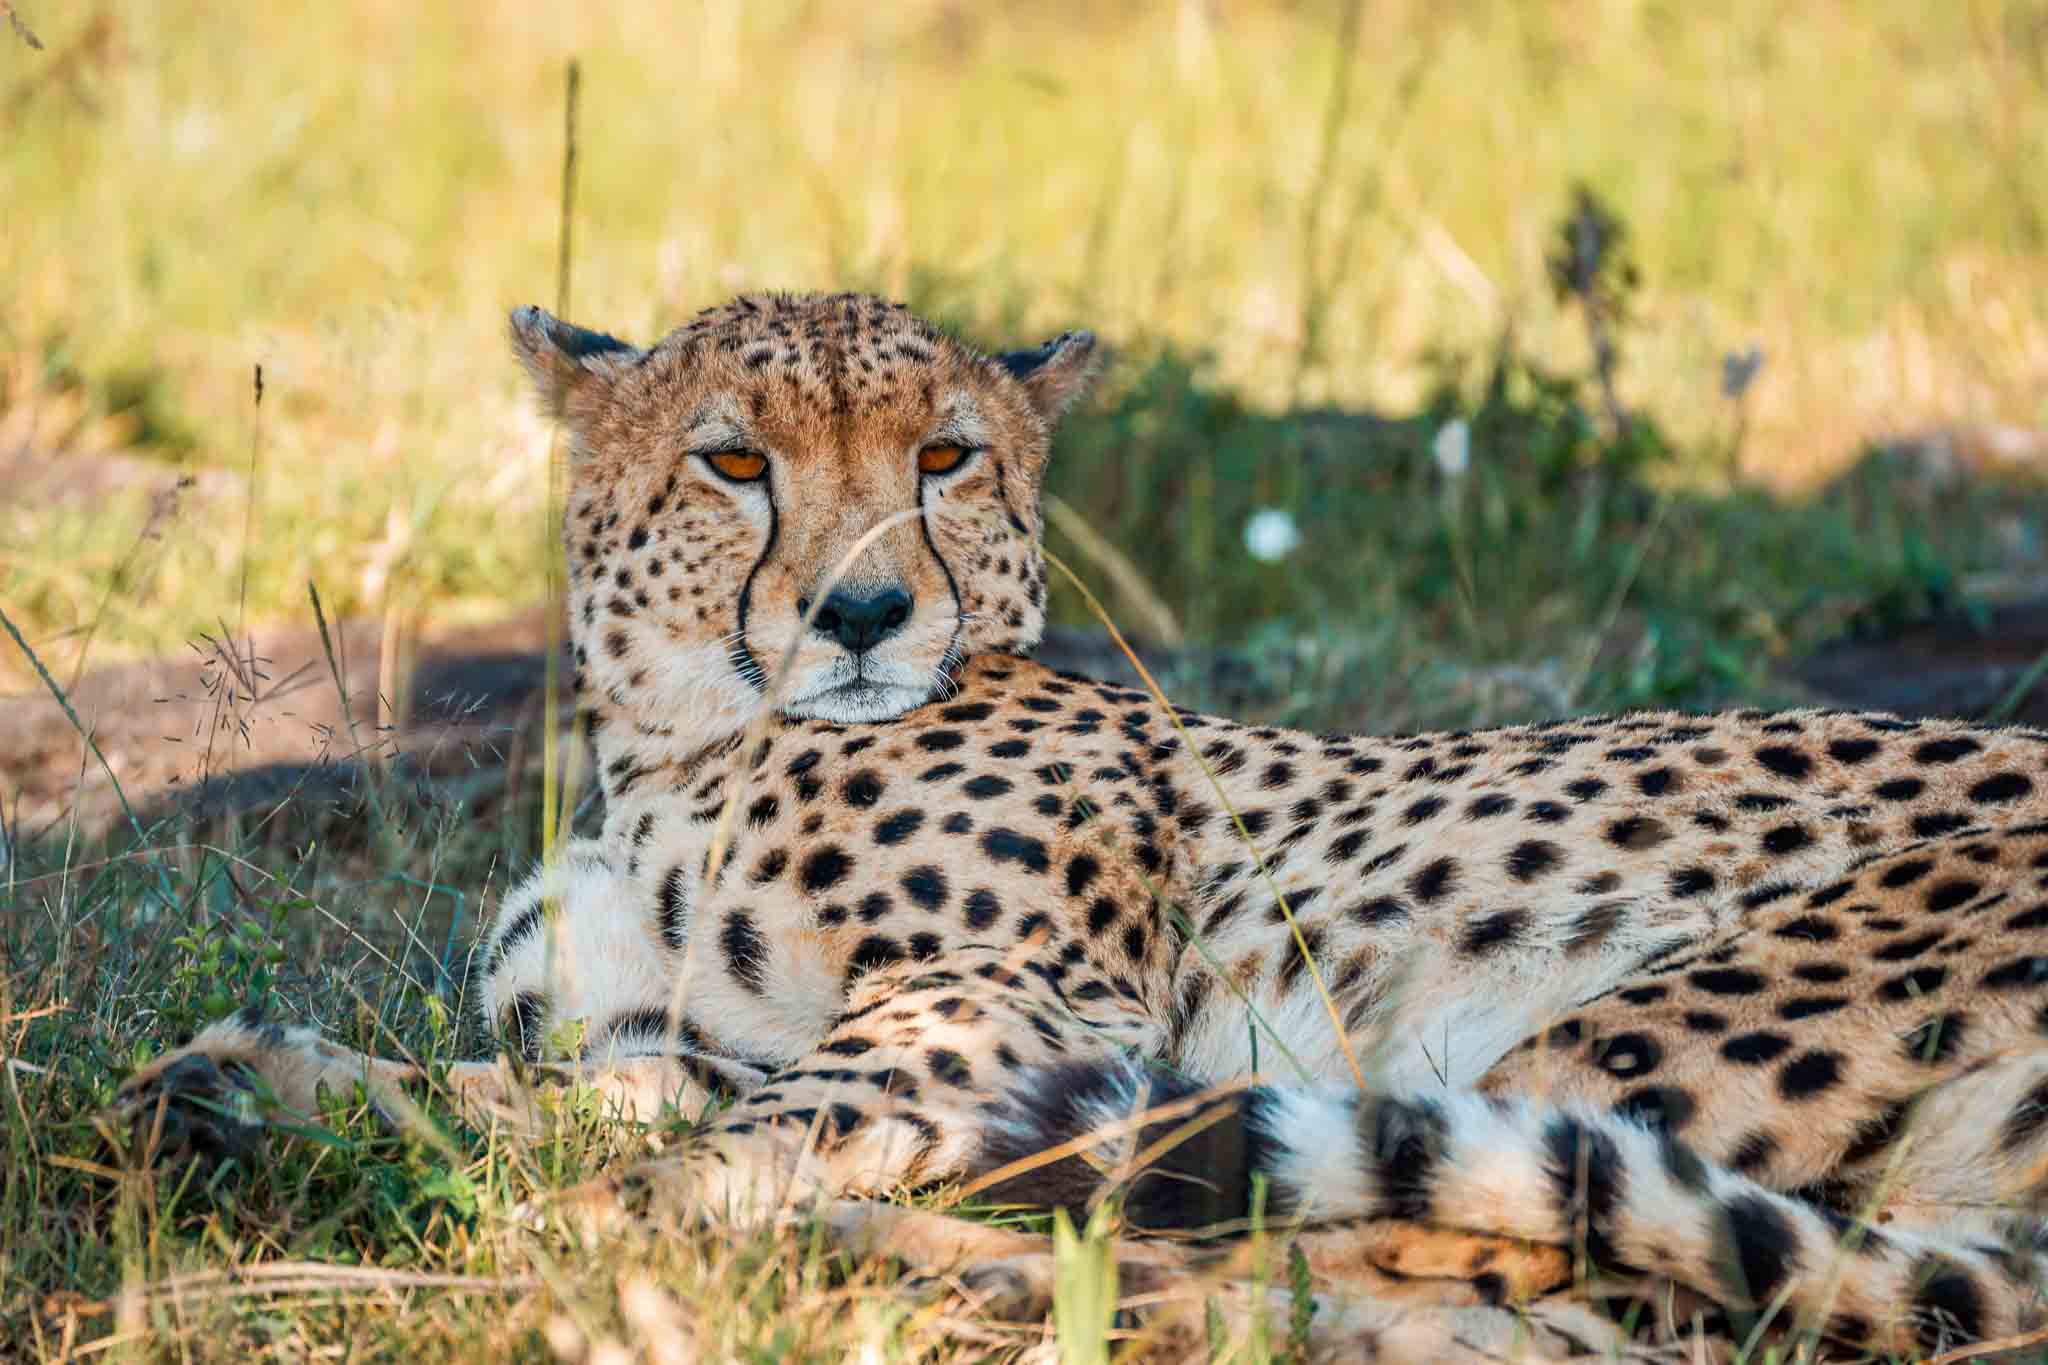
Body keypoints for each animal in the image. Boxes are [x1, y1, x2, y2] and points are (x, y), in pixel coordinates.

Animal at [109, 290, 2048, 1361]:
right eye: (735, 461)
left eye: (945, 458)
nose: (865, 614)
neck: (686, 746)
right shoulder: (680, 1034)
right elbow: (555, 1098)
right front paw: (265, 1087)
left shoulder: (1010, 997)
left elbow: (687, 1151)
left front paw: (559, 1253)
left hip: (1625, 1029)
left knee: (1470, 1269)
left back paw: (909, 1268)